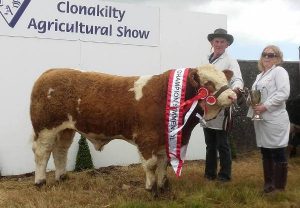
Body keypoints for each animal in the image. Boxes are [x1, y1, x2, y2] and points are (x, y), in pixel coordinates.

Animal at [30, 65, 237, 195]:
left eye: (224, 79)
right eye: (208, 82)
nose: (233, 95)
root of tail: (51, 72)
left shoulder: (164, 140)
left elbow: (163, 164)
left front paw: (163, 187)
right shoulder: (147, 139)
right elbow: (151, 165)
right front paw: (151, 189)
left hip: (65, 129)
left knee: (60, 151)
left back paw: (62, 178)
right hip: (45, 128)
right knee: (42, 152)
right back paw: (40, 182)